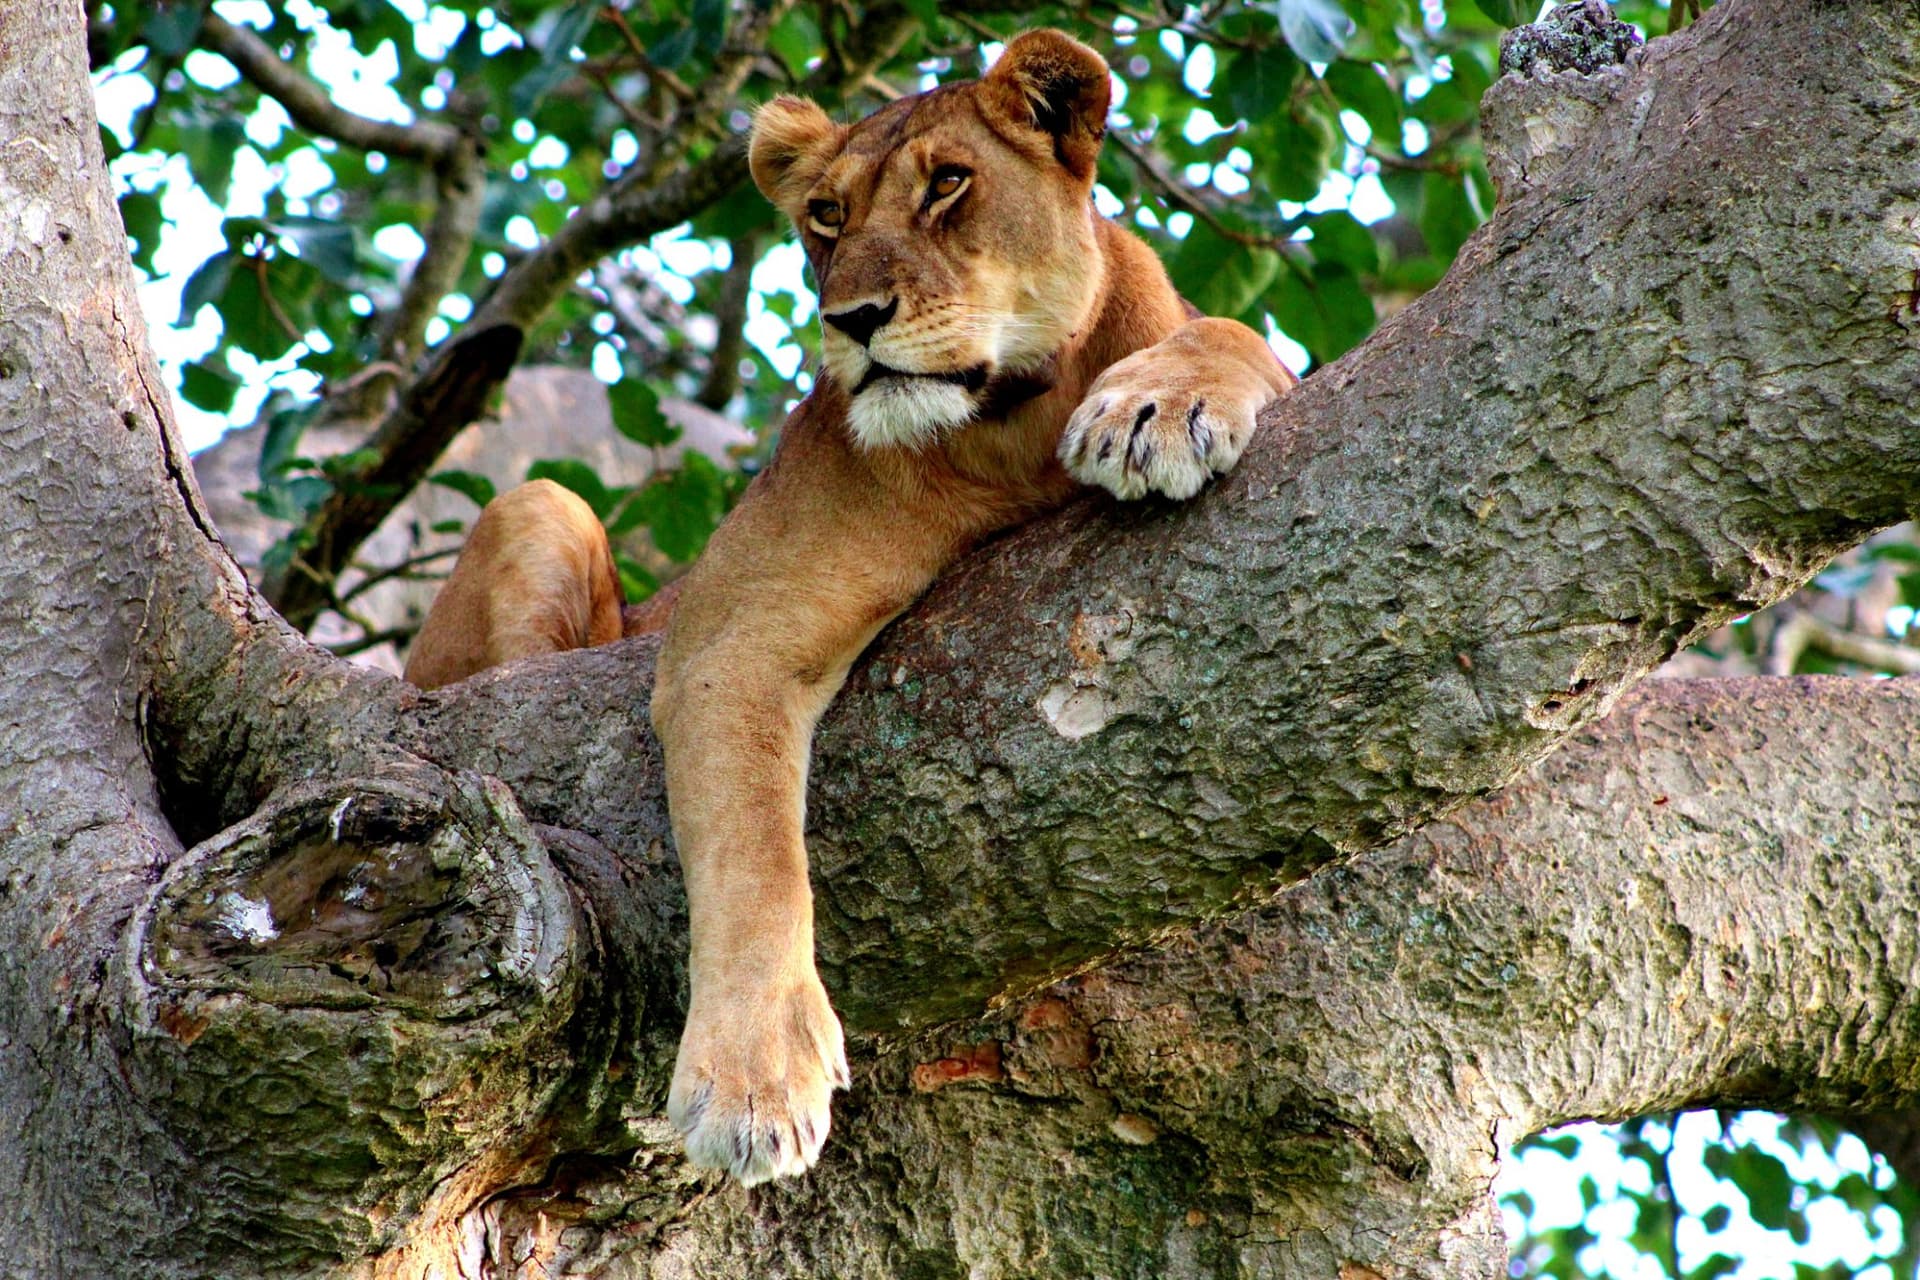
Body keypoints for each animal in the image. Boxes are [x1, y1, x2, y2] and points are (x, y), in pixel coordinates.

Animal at [403, 28, 1297, 1185]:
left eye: (949, 184)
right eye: (827, 216)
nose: (853, 320)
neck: (1012, 420)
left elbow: (1235, 333)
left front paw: (1156, 405)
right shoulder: (728, 638)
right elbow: (754, 857)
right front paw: (753, 1080)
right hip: (540, 503)